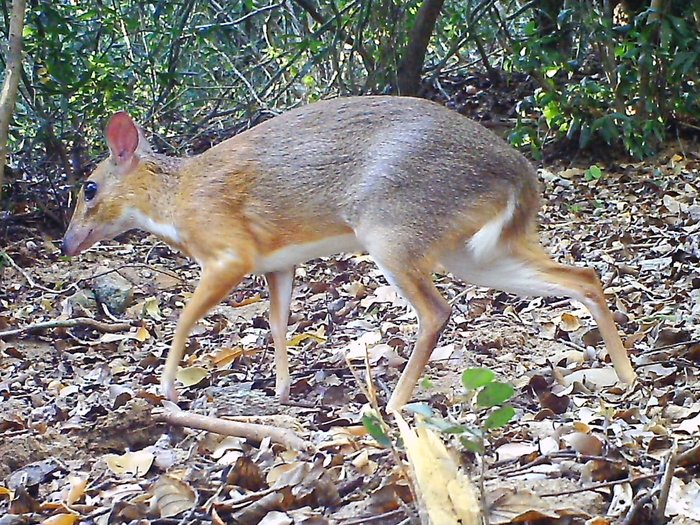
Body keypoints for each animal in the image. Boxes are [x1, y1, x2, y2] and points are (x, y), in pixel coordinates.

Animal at [62, 96, 636, 411]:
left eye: (88, 188)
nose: (66, 243)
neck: (177, 200)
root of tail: (519, 173)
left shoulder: (229, 251)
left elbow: (184, 316)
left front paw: (166, 387)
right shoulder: (277, 262)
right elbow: (277, 323)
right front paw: (282, 390)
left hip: (393, 229)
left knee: (437, 311)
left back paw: (394, 404)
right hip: (473, 251)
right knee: (583, 276)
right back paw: (628, 378)